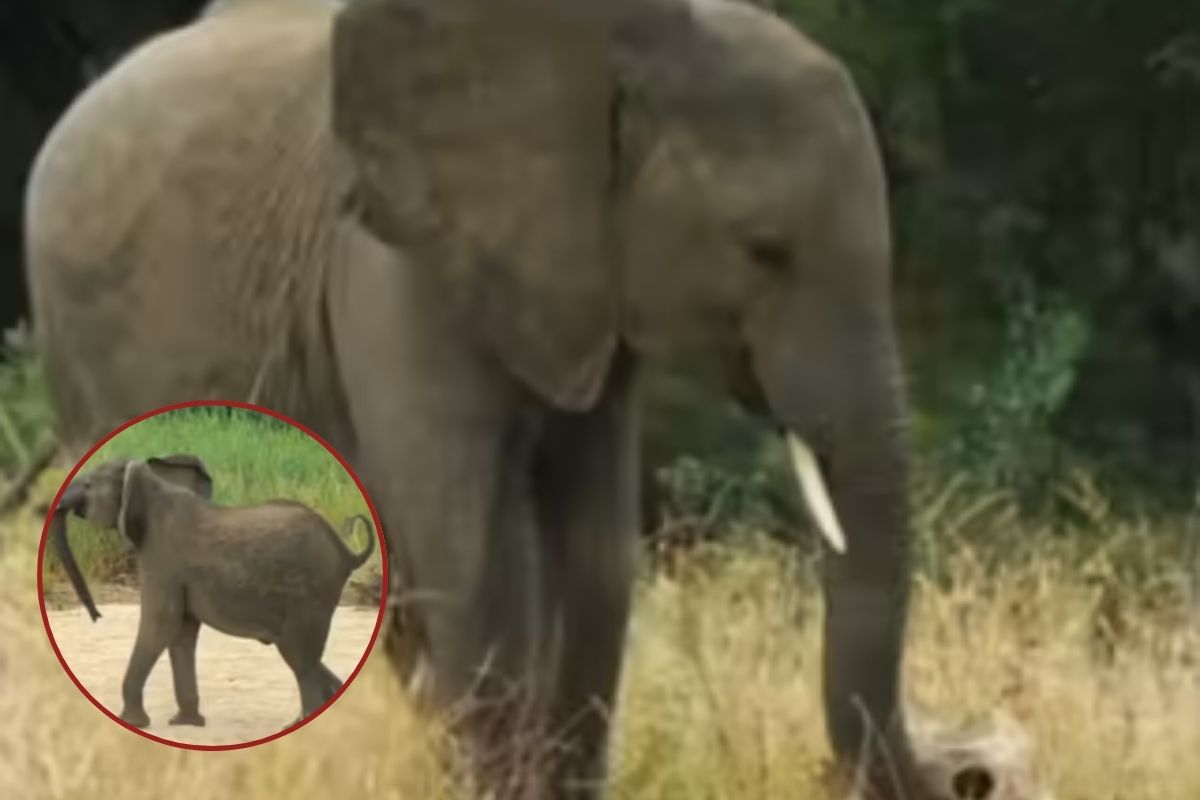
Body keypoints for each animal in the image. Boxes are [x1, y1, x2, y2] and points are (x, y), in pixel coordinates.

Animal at [50, 453, 376, 728]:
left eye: (89, 485)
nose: (97, 616)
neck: (150, 483)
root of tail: (347, 552)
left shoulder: (163, 556)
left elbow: (162, 623)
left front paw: (136, 723)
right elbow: (181, 631)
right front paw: (186, 724)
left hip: (309, 594)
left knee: (299, 656)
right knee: (302, 655)